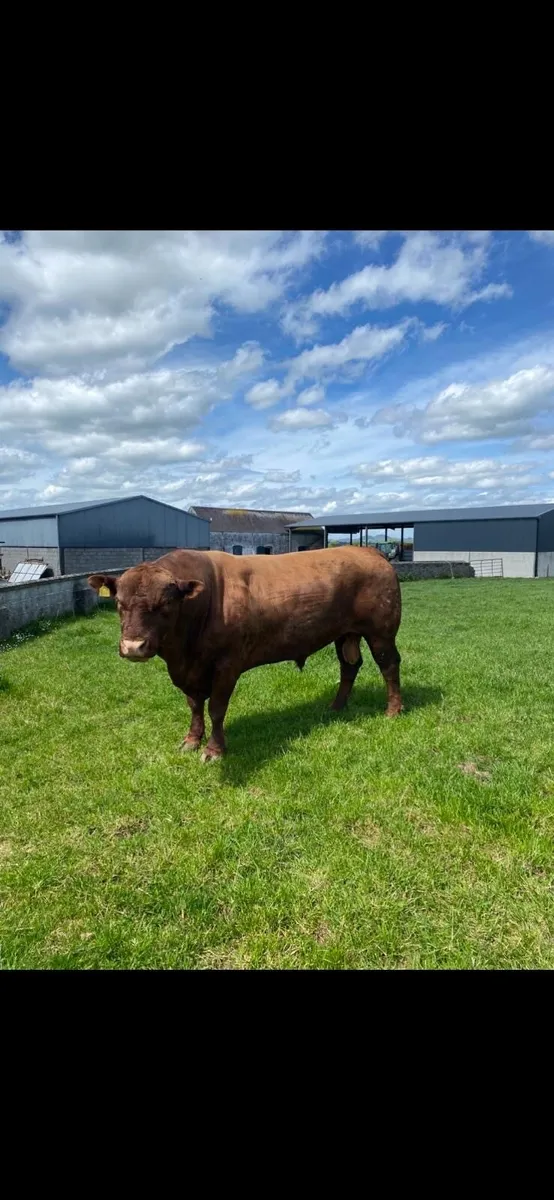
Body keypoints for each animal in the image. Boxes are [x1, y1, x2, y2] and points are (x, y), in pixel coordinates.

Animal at [88, 546, 402, 763]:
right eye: (119, 602)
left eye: (165, 603)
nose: (133, 647)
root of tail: (369, 551)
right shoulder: (189, 671)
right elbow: (194, 706)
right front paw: (191, 740)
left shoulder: (227, 665)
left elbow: (216, 708)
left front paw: (214, 750)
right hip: (344, 634)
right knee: (349, 666)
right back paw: (336, 706)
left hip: (381, 633)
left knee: (389, 666)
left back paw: (393, 710)